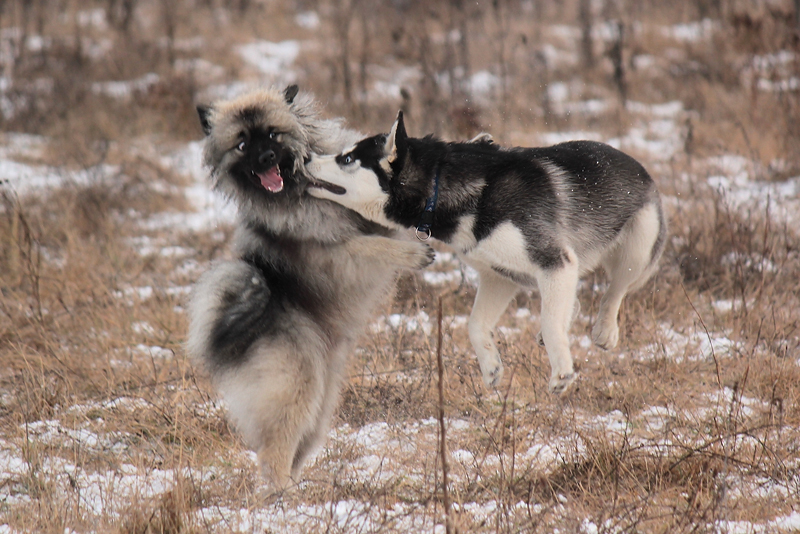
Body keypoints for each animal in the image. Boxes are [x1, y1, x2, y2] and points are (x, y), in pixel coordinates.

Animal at [308, 113, 668, 396]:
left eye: (347, 159)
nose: (308, 157)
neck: (446, 190)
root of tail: (639, 167)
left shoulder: (553, 260)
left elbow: (551, 321)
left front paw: (561, 372)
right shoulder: (499, 275)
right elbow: (475, 325)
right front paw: (491, 366)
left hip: (637, 253)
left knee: (615, 290)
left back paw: (605, 329)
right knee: (572, 300)